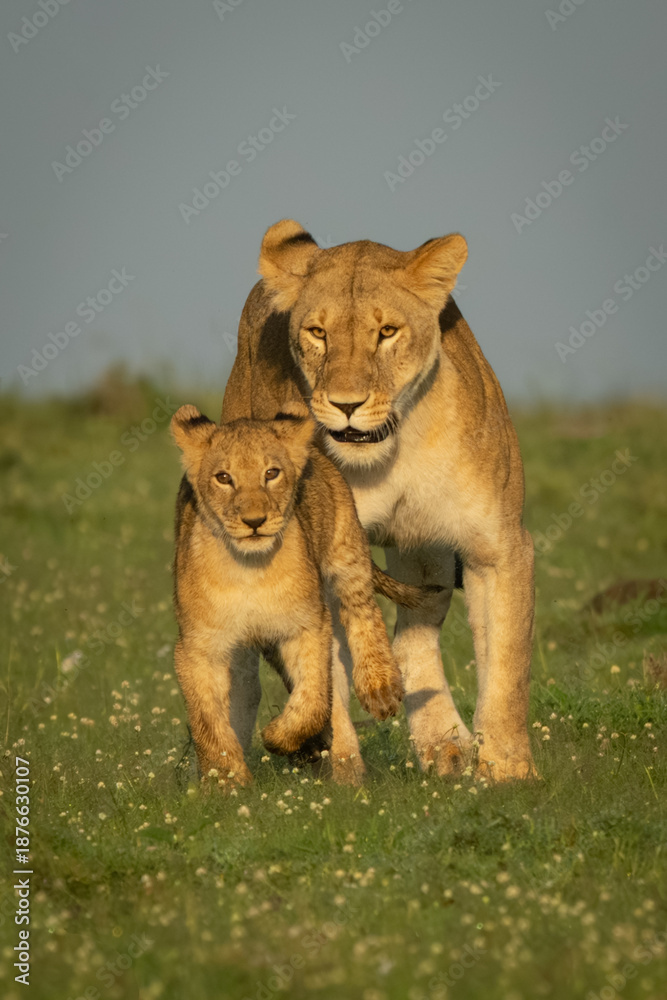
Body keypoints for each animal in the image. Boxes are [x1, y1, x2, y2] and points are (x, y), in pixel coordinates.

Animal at [171, 404, 431, 786]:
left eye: (271, 473)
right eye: (223, 477)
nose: (254, 521)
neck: (249, 572)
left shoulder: (306, 625)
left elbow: (312, 699)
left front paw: (276, 737)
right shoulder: (199, 647)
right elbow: (208, 721)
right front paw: (227, 782)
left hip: (346, 551)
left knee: (363, 611)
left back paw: (378, 691)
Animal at [221, 220, 537, 782]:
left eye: (387, 331)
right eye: (317, 333)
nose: (346, 405)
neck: (393, 451)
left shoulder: (498, 547)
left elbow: (507, 666)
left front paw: (508, 771)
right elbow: (327, 677)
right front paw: (346, 774)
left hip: (426, 552)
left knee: (417, 627)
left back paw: (444, 744)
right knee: (241, 673)